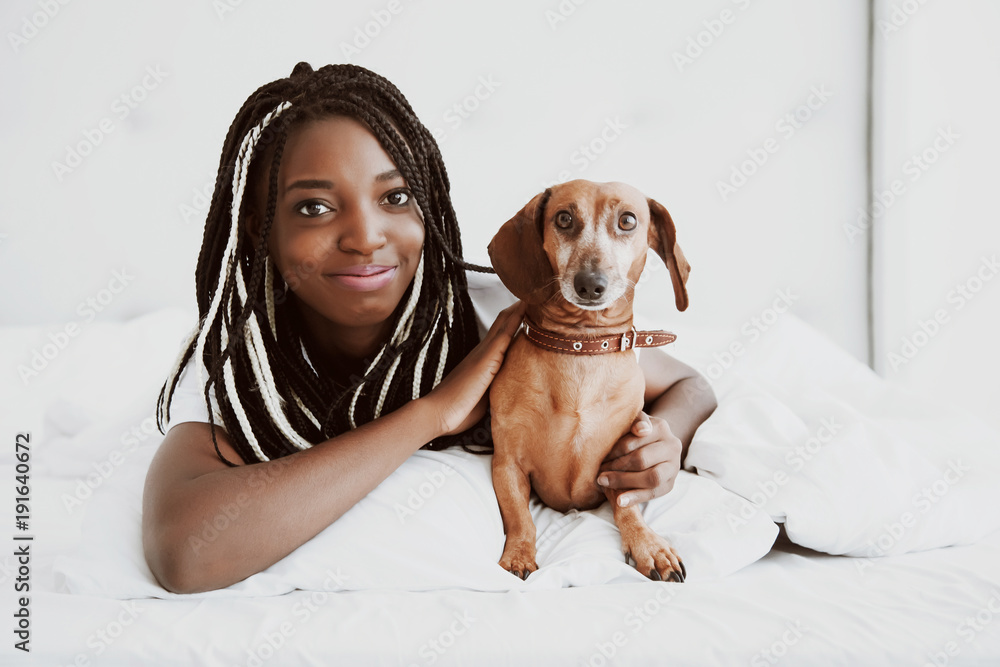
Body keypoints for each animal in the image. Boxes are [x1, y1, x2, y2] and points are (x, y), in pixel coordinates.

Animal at [488, 180, 692, 580]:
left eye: (628, 220)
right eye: (564, 218)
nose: (590, 284)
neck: (581, 348)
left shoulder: (620, 463)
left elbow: (626, 505)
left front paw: (648, 545)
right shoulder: (506, 463)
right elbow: (520, 516)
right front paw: (519, 553)